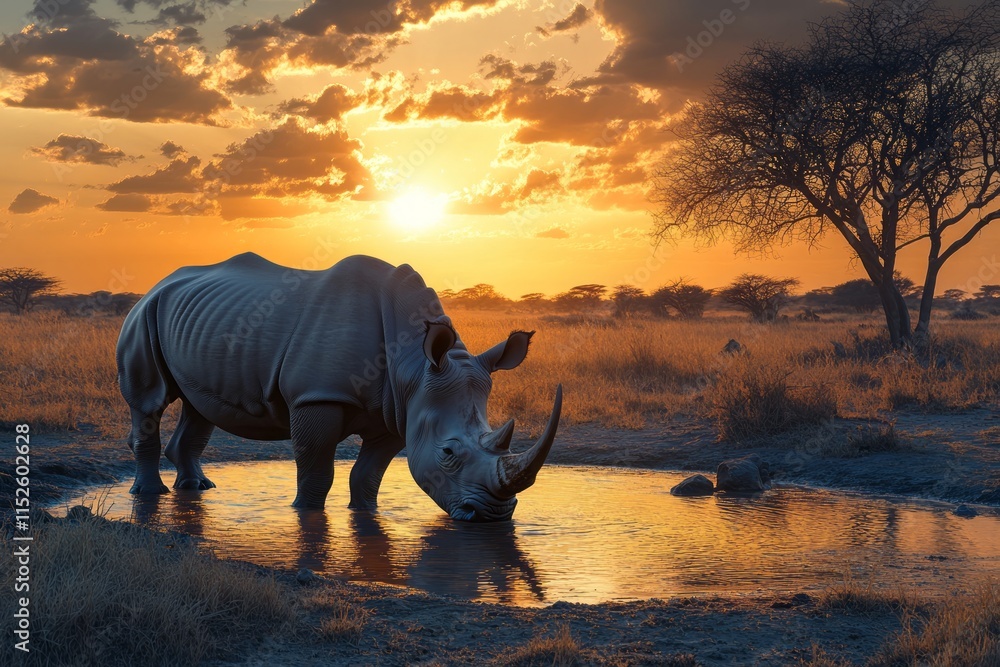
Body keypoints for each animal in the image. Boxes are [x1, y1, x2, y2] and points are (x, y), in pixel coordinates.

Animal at [116, 253, 562, 521]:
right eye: (449, 453)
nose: (494, 516)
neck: (414, 364)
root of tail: (158, 284)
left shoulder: (398, 411)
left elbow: (368, 473)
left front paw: (365, 515)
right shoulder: (317, 397)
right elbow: (316, 468)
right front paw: (306, 515)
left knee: (199, 408)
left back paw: (197, 488)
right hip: (144, 314)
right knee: (149, 402)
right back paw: (150, 495)